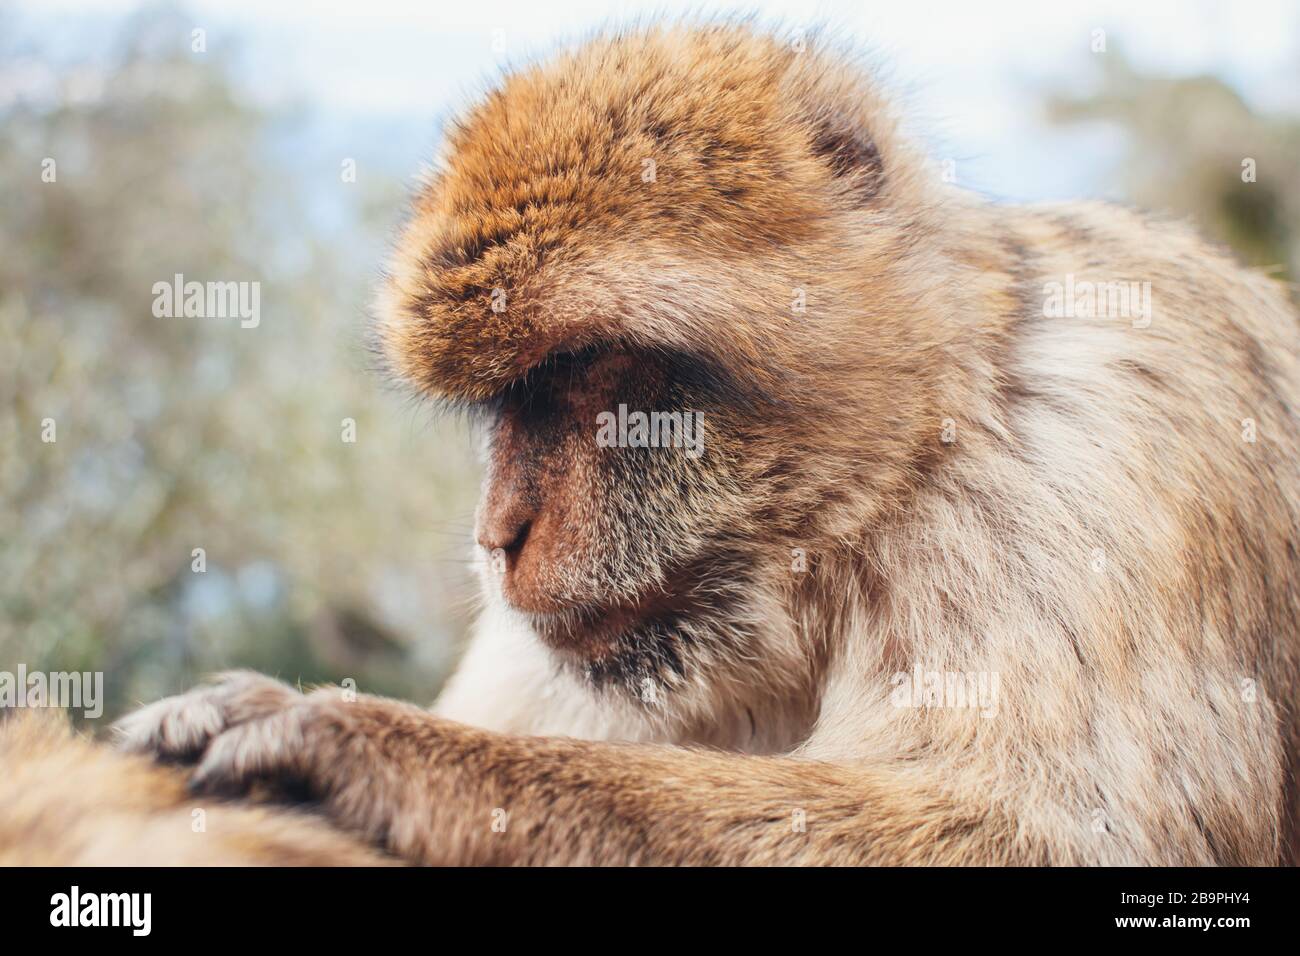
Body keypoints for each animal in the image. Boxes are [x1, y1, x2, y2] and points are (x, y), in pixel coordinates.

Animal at [22, 24, 1300, 868]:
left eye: (591, 376)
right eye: (507, 400)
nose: (497, 533)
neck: (917, 452)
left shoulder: (1087, 465)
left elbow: (1031, 834)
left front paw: (365, 744)